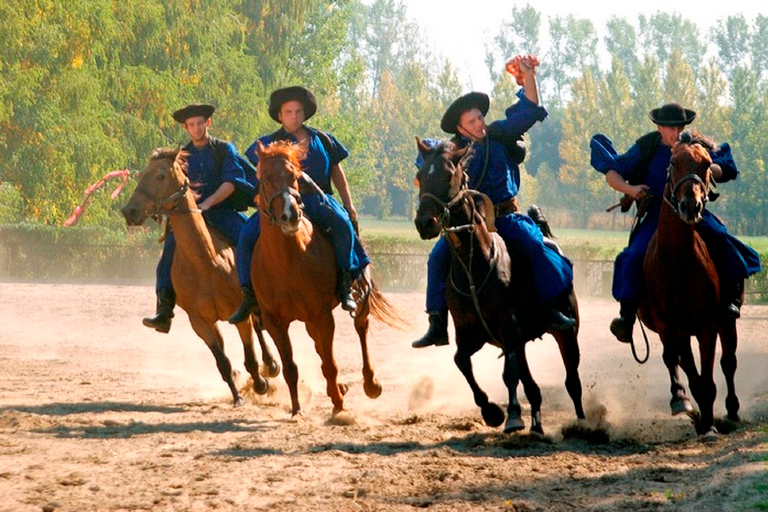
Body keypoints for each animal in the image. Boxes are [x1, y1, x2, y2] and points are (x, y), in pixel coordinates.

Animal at [123, 148, 282, 408]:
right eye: (142, 173)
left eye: (160, 175)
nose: (130, 211)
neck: (206, 261)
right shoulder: (200, 322)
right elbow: (223, 362)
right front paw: (238, 396)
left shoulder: (239, 316)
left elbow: (250, 357)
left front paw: (260, 384)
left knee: (260, 328)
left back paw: (270, 366)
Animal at [252, 138, 402, 418]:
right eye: (265, 178)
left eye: (294, 176)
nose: (291, 215)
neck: (285, 262)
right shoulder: (275, 321)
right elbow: (290, 367)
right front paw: (297, 410)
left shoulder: (322, 315)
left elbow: (331, 364)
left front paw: (340, 407)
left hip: (358, 299)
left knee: (361, 328)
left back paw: (370, 383)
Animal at [416, 138, 584, 434]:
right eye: (421, 176)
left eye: (448, 175)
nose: (425, 222)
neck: (474, 265)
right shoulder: (471, 334)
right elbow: (462, 362)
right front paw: (491, 411)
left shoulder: (509, 329)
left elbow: (509, 373)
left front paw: (513, 416)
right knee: (533, 386)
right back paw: (536, 425)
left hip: (566, 333)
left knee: (572, 381)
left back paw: (584, 425)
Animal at [640, 133, 740, 436]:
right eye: (673, 162)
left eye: (707, 164)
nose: (690, 205)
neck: (678, 258)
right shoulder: (670, 325)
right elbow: (678, 365)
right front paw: (683, 402)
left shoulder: (708, 325)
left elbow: (708, 378)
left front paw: (710, 426)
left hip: (726, 323)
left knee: (729, 363)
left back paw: (732, 410)